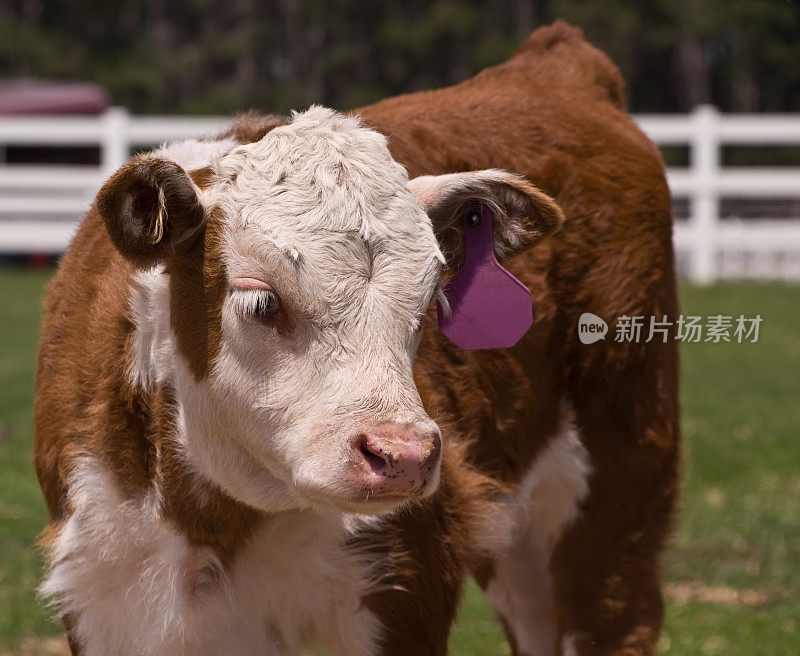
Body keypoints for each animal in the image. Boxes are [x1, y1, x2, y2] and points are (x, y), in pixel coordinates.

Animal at [36, 23, 676, 656]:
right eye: (262, 302)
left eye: (430, 301)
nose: (404, 456)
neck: (212, 524)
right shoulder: (104, 596)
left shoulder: (404, 586)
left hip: (613, 489)